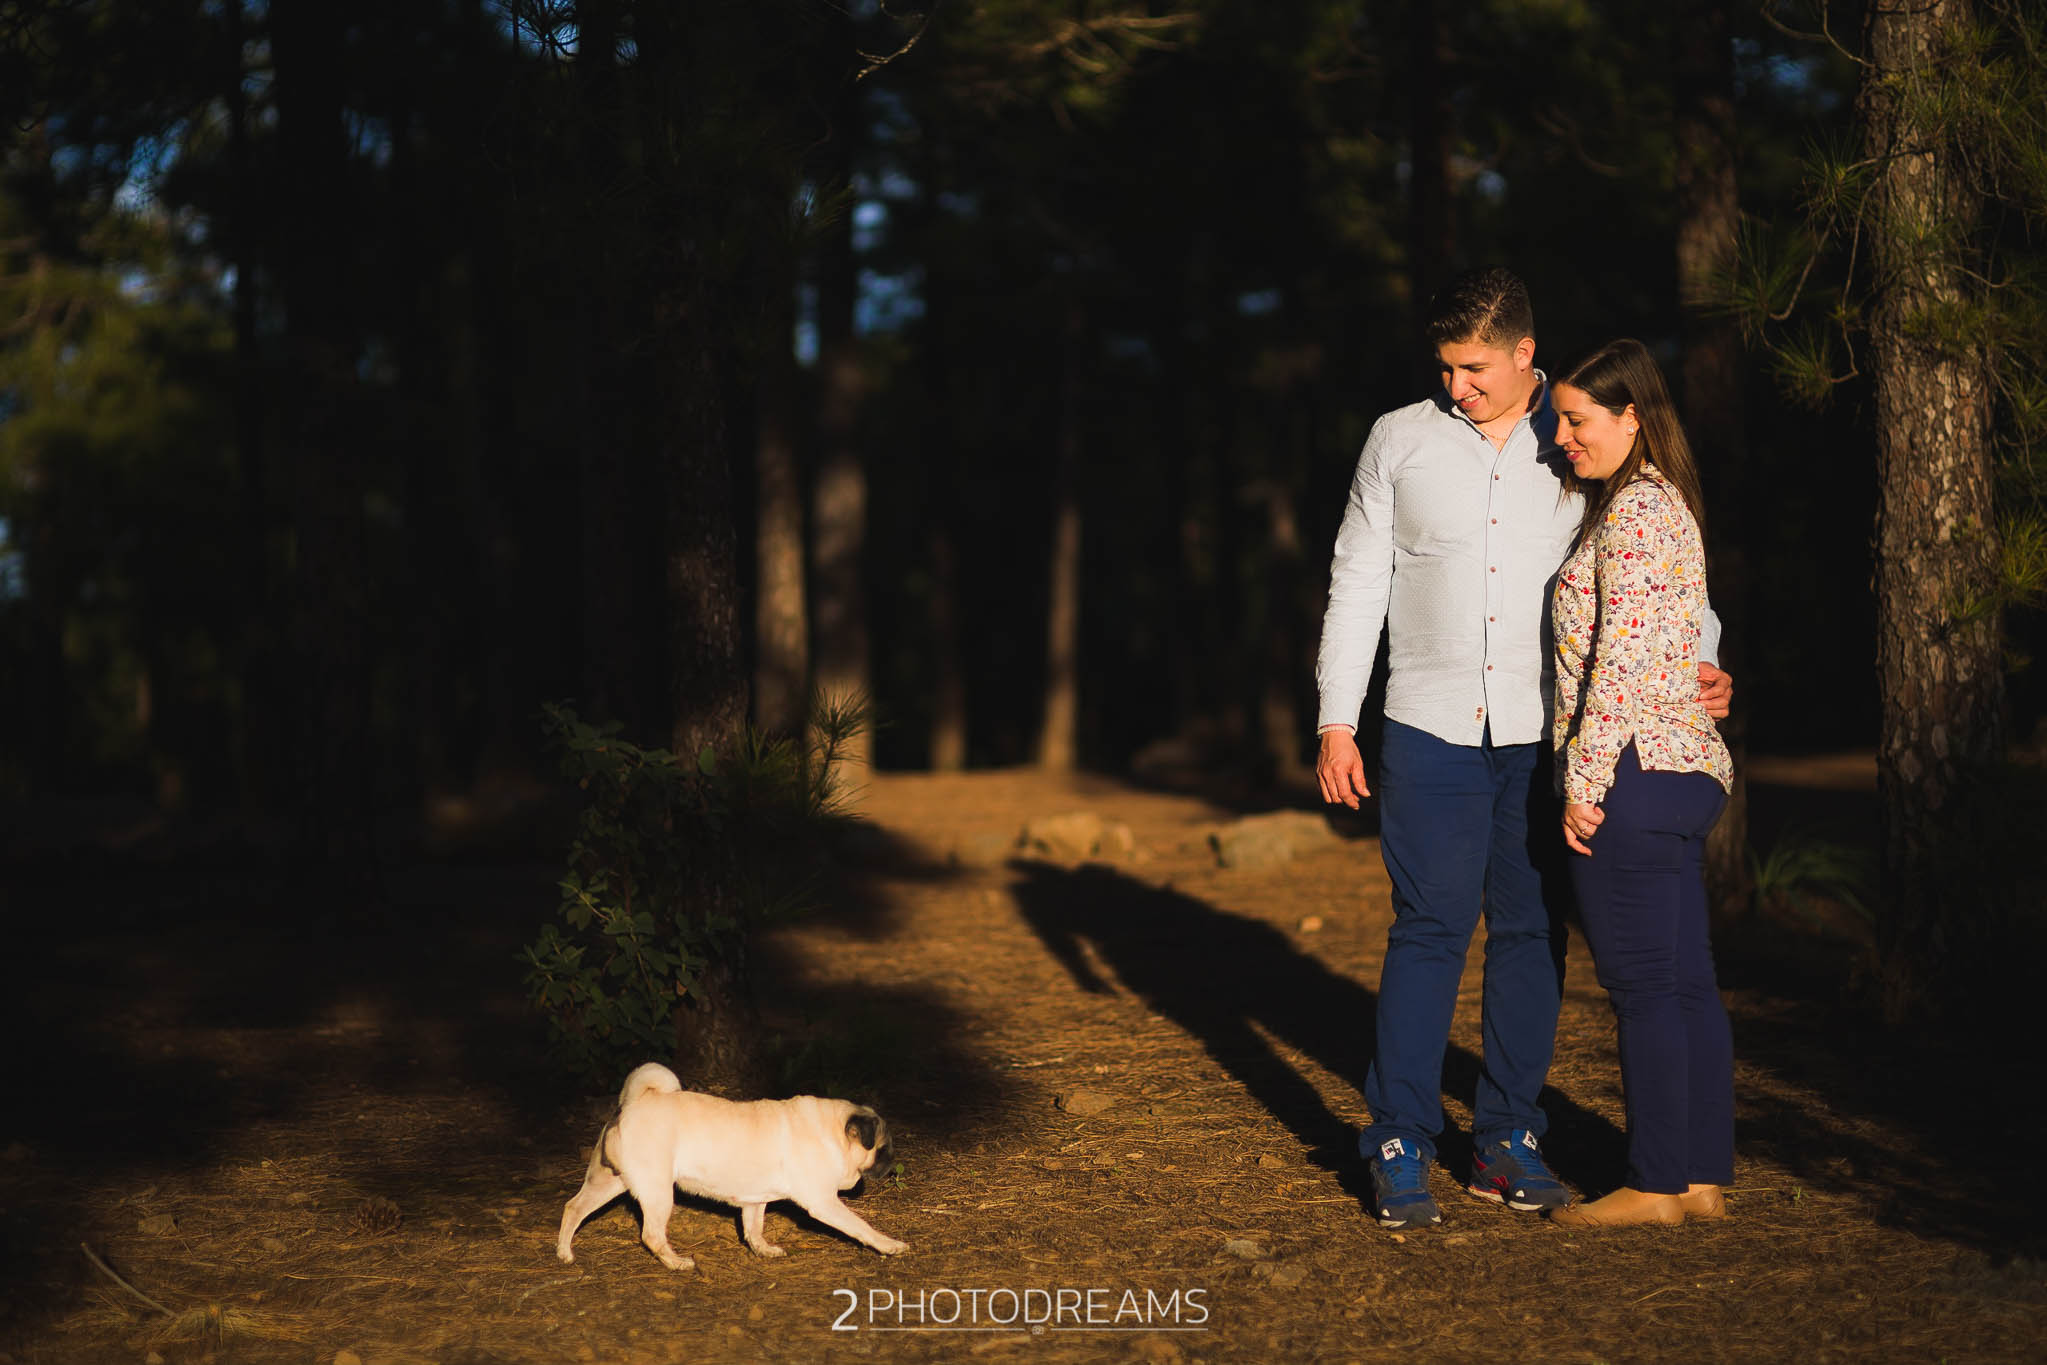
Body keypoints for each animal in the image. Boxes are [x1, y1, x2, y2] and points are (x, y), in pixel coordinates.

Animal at [556, 1062, 907, 1270]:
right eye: (883, 1148)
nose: (892, 1163)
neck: (830, 1131)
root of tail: (635, 1103)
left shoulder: (756, 1200)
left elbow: (754, 1228)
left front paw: (763, 1250)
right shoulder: (823, 1202)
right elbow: (860, 1226)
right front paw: (888, 1245)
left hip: (608, 1181)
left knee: (574, 1207)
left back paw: (564, 1253)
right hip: (657, 1192)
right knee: (651, 1235)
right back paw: (677, 1263)